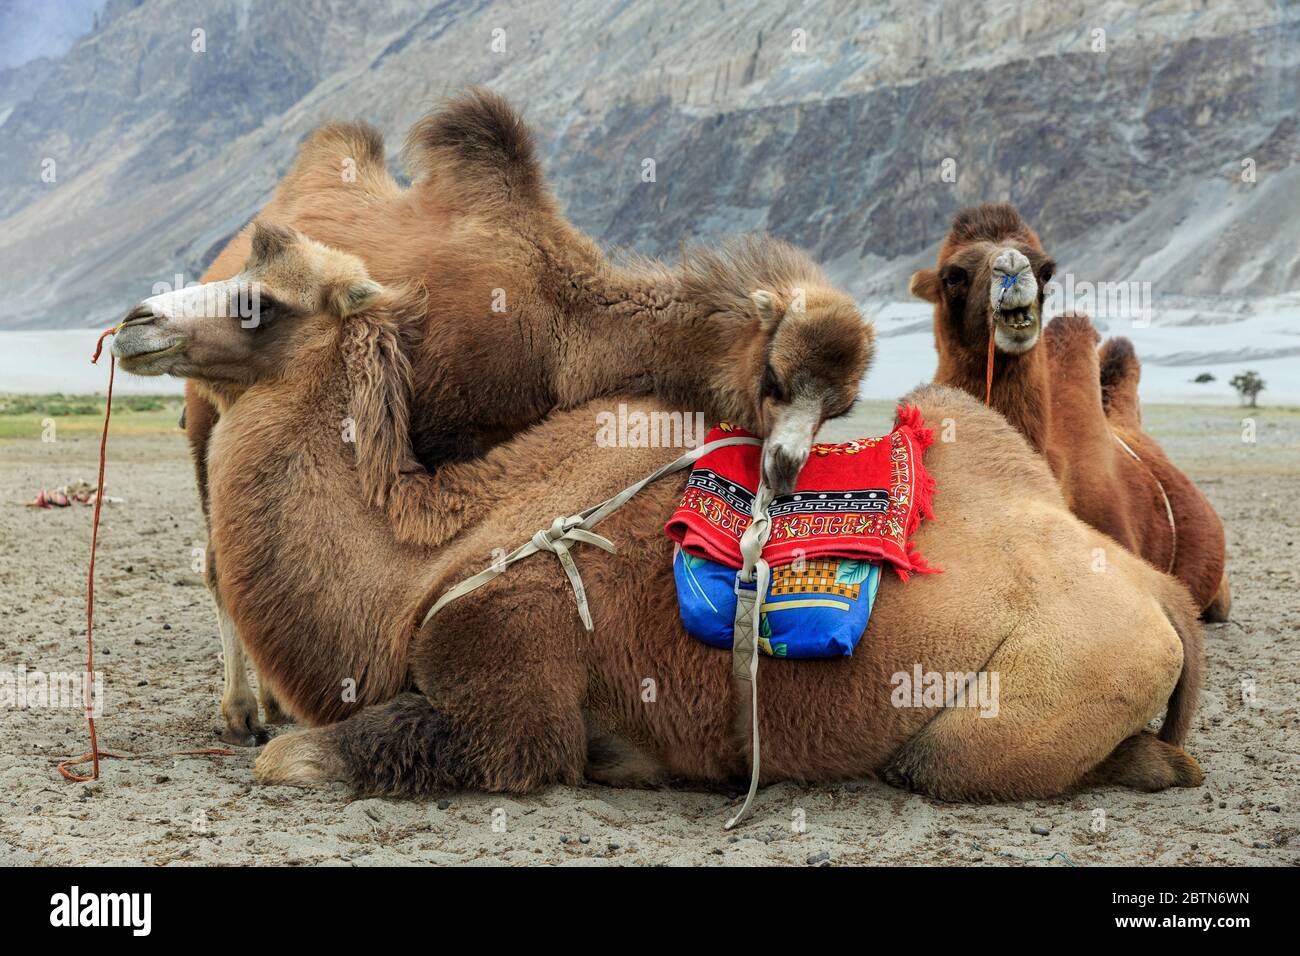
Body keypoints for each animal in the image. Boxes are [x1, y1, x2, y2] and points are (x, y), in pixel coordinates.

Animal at [111, 226, 1206, 806]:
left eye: (261, 302)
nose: (134, 320)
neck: (421, 561)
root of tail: (1163, 595)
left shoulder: (508, 701)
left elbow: (290, 756)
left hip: (1014, 703)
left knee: (955, 759)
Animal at [178, 89, 873, 743]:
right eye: (774, 379)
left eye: (839, 408)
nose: (785, 467)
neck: (561, 325)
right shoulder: (445, 430)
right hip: (204, 410)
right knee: (214, 559)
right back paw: (242, 712)